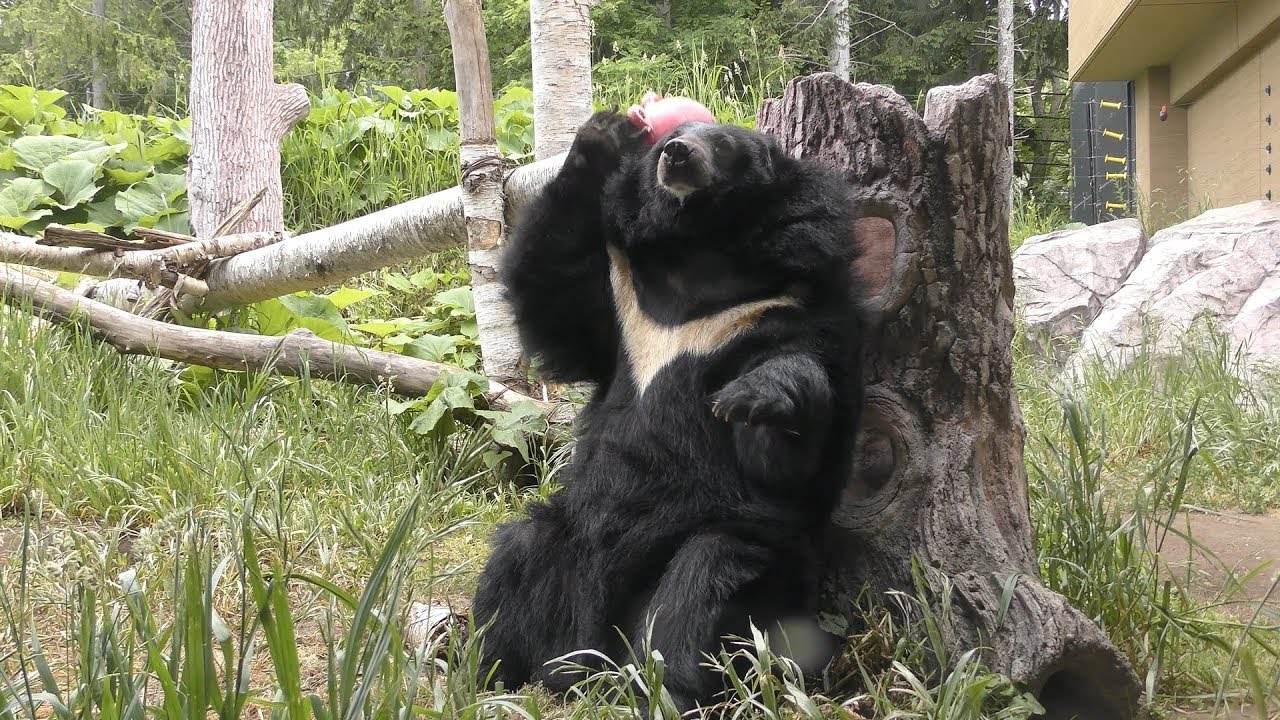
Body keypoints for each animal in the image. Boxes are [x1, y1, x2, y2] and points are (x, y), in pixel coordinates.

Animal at [470, 109, 866, 713]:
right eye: (668, 140)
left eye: (722, 145)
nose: (676, 154)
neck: (698, 252)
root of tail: (598, 649)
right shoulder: (622, 302)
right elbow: (552, 293)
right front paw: (602, 137)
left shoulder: (801, 304)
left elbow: (792, 448)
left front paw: (754, 398)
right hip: (568, 538)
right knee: (518, 558)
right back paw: (487, 673)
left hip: (752, 559)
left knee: (701, 588)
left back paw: (665, 691)